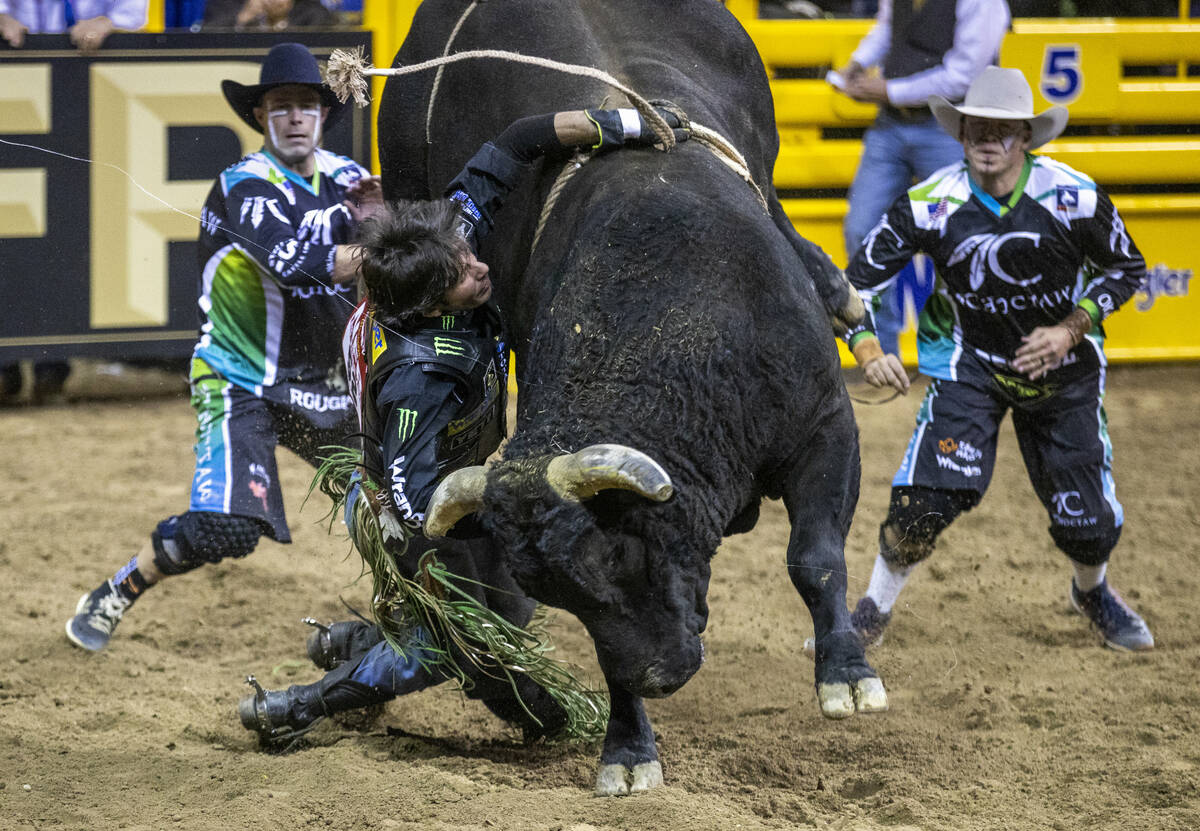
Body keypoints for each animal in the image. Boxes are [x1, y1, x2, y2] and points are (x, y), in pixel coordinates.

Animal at [379, 0, 888, 797]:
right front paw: (626, 747)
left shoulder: (825, 423)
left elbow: (816, 558)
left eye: (620, 556)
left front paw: (847, 675)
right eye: (566, 594)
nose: (657, 676)